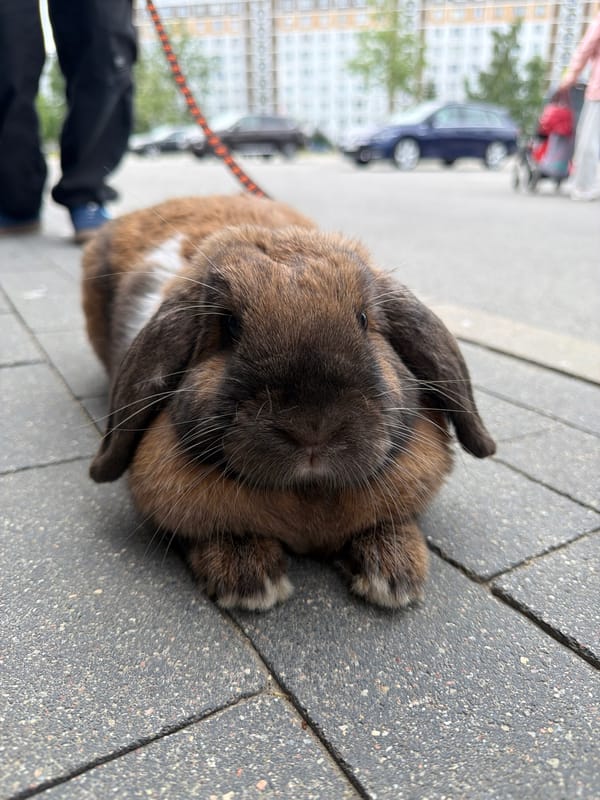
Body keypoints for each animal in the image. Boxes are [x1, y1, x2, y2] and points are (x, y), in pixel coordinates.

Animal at [82, 194, 495, 611]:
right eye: (229, 326)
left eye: (364, 319)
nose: (313, 428)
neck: (307, 496)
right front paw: (249, 582)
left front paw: (395, 579)